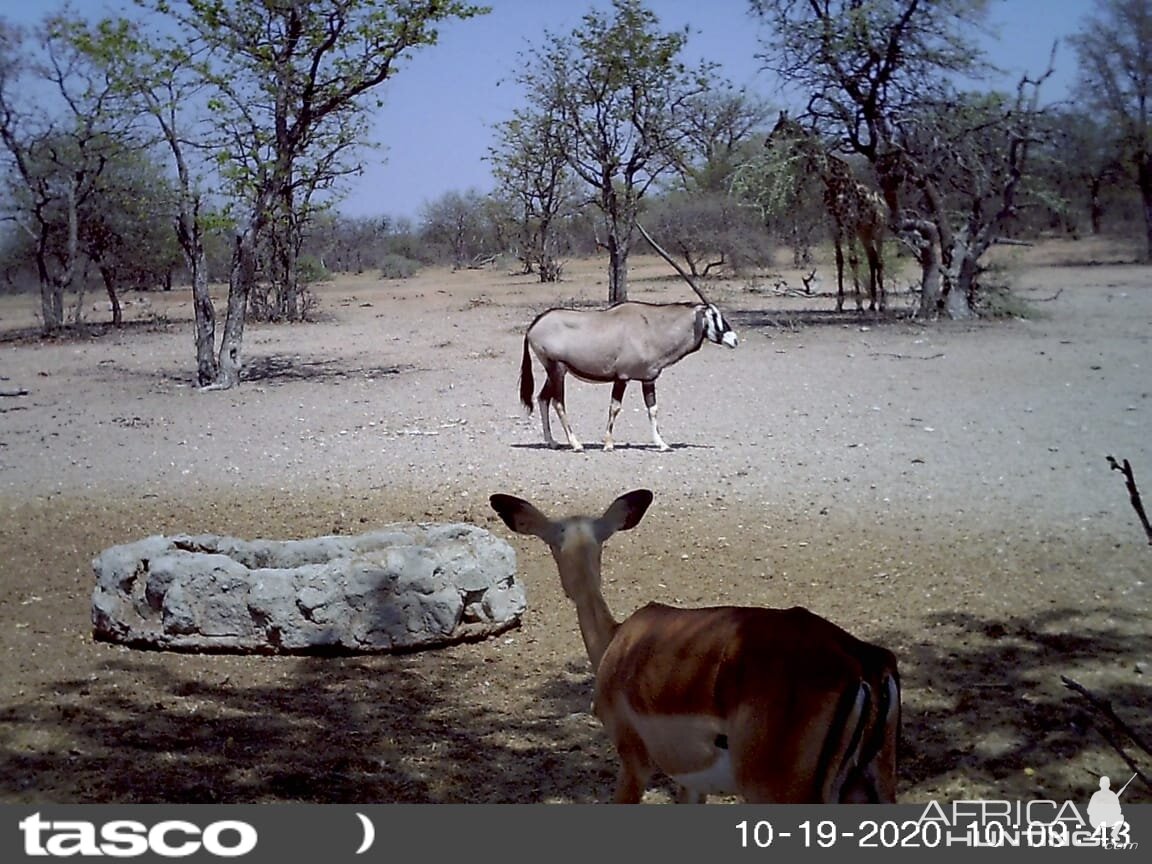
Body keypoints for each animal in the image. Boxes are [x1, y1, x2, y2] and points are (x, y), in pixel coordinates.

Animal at [769, 112, 884, 315]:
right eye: (776, 126)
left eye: (787, 129)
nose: (768, 142)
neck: (832, 181)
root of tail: (881, 202)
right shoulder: (833, 224)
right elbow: (839, 260)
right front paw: (839, 303)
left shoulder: (848, 221)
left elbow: (853, 259)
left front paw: (858, 304)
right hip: (864, 231)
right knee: (872, 259)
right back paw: (872, 304)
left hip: (878, 230)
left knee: (880, 261)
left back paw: (882, 303)